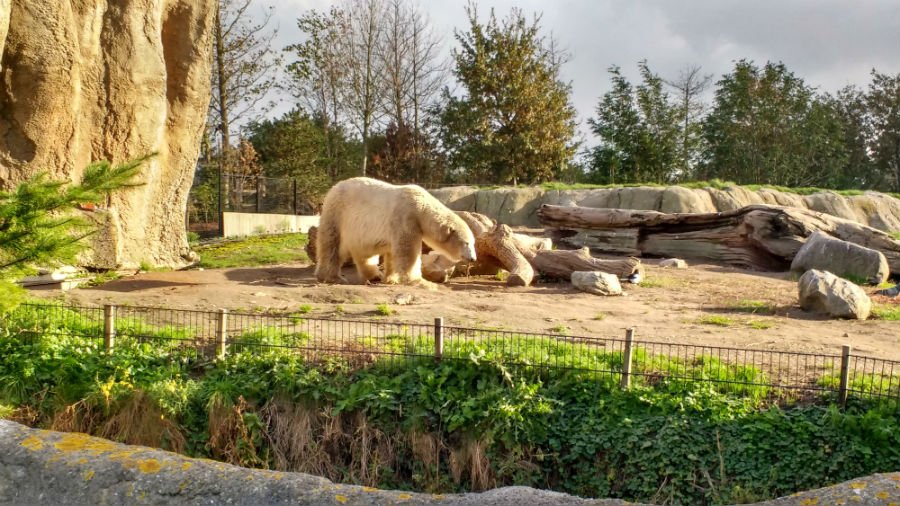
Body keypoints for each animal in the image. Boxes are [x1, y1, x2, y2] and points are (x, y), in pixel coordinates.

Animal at [314, 177, 474, 284]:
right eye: (466, 243)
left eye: (473, 243)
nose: (473, 258)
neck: (421, 207)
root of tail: (334, 187)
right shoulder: (406, 218)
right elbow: (407, 252)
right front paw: (419, 280)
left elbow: (392, 252)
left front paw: (391, 279)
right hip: (337, 214)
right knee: (331, 245)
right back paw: (331, 277)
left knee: (364, 253)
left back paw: (374, 275)